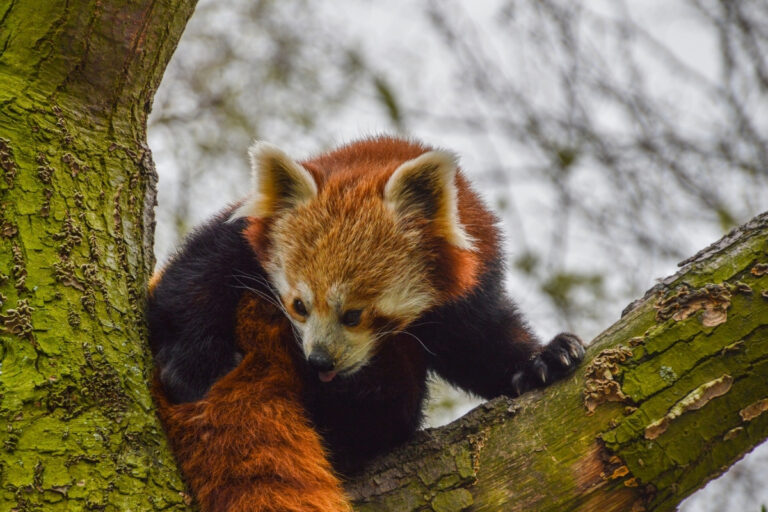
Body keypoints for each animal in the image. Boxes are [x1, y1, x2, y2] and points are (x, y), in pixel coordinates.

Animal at [148, 137, 584, 512]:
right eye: (299, 306)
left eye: (353, 315)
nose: (319, 361)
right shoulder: (243, 236)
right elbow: (193, 280)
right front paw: (195, 365)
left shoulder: (468, 291)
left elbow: (483, 345)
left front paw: (544, 359)